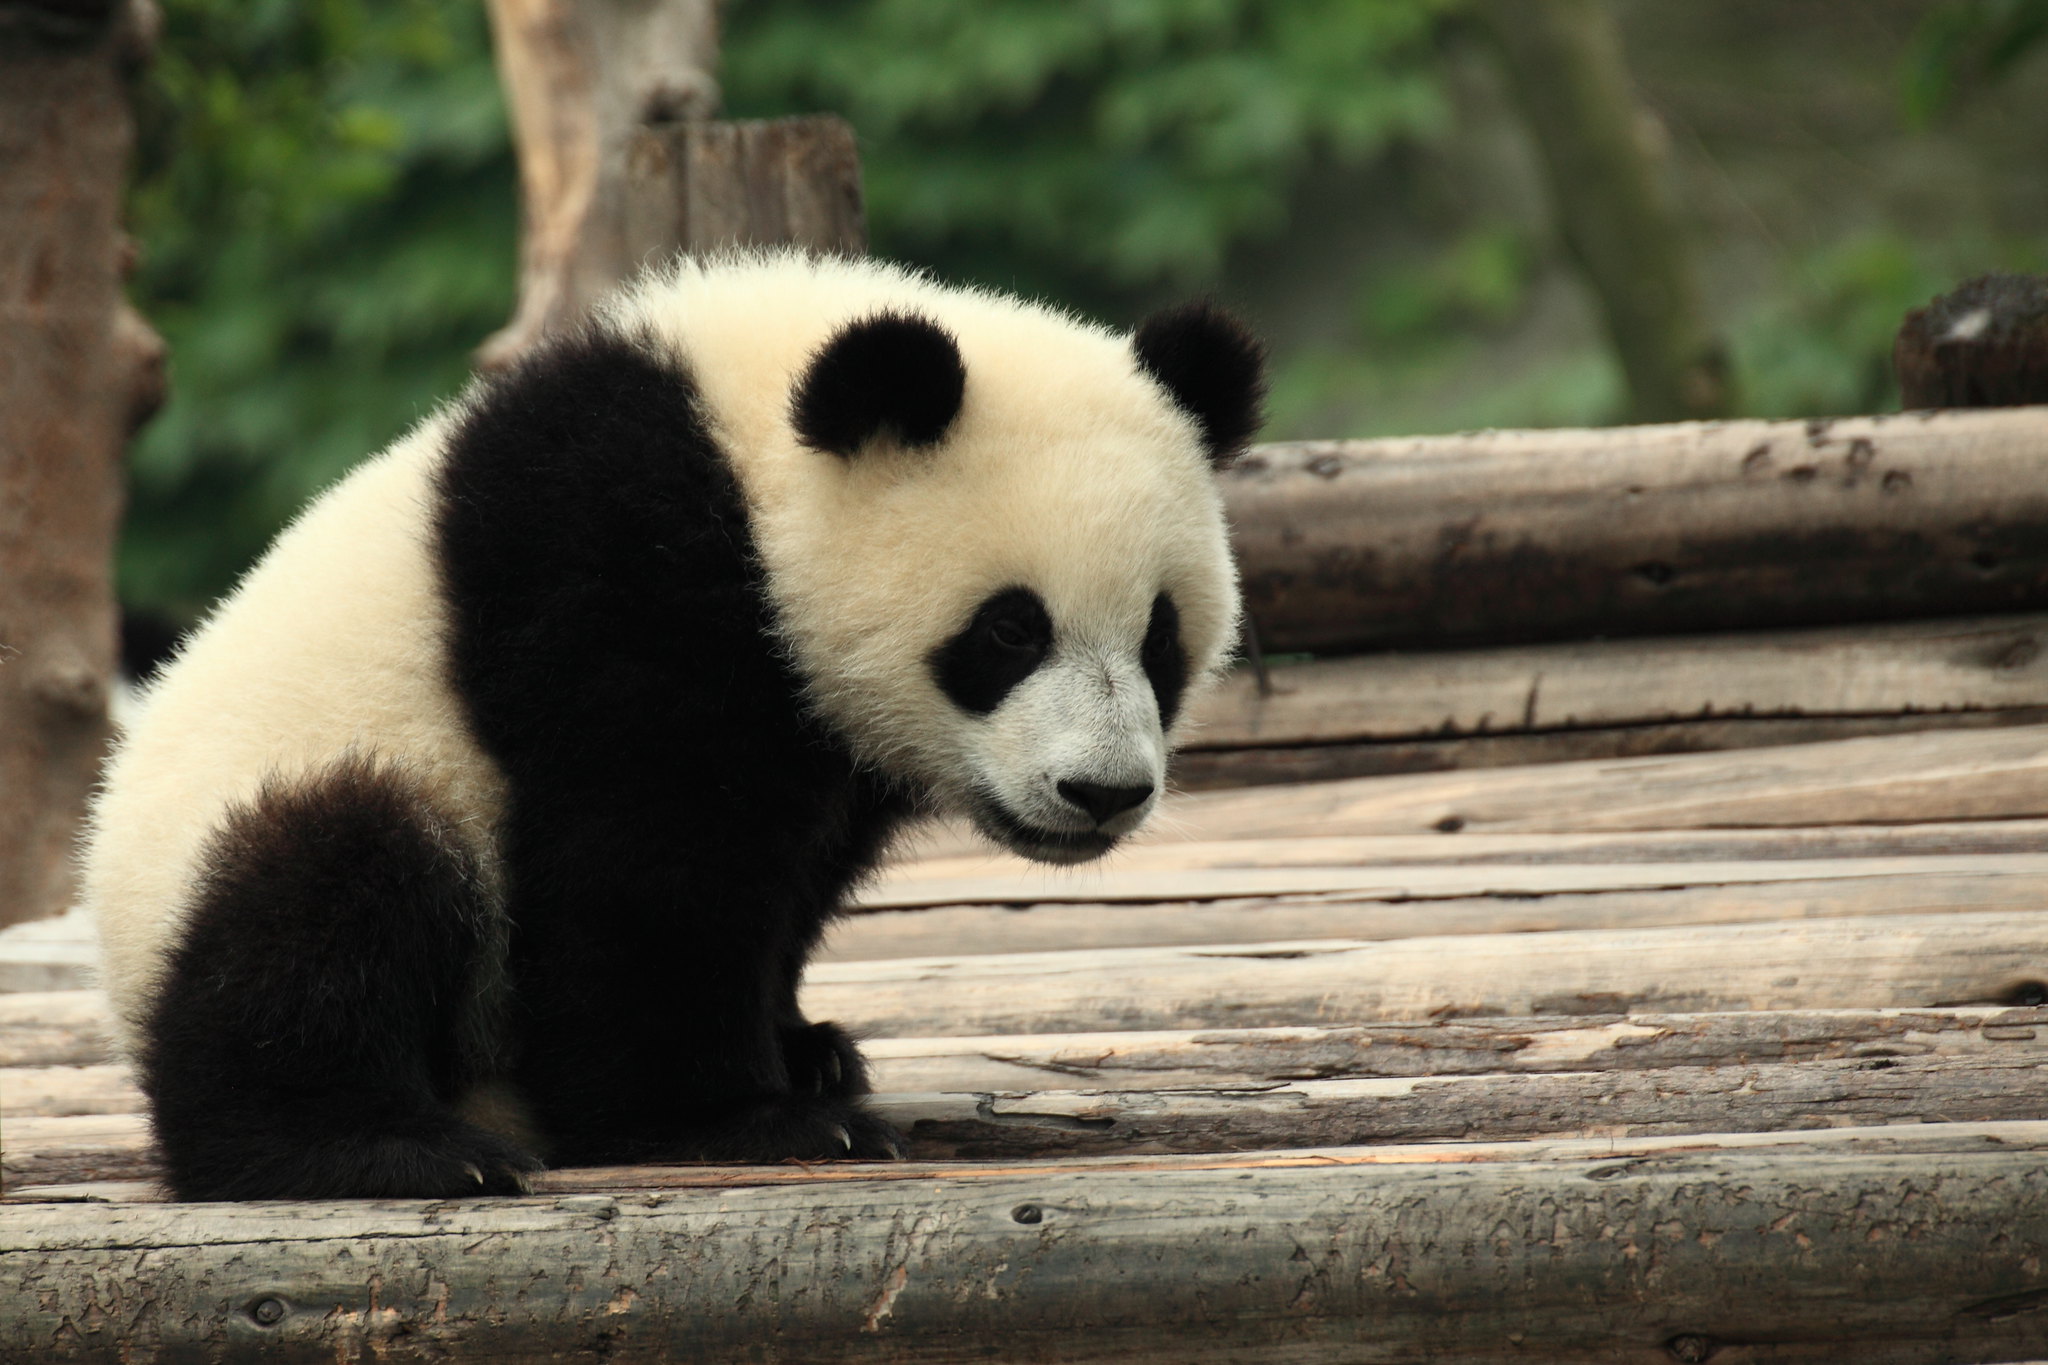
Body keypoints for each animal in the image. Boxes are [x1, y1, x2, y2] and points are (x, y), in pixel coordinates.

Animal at [88, 250, 1261, 1203]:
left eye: (1160, 636)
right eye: (1011, 629)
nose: (1101, 793)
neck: (747, 455)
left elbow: (786, 872)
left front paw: (803, 1048)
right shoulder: (611, 568)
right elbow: (645, 864)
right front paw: (745, 1118)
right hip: (289, 807)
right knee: (328, 891)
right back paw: (375, 1146)